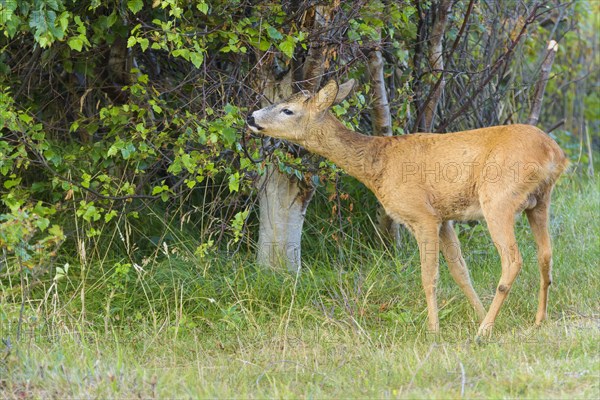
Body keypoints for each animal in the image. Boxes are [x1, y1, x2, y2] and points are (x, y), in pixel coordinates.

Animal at [247, 79, 568, 338]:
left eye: (287, 110)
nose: (250, 116)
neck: (379, 165)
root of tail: (554, 153)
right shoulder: (444, 217)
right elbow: (460, 271)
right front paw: (476, 314)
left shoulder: (422, 215)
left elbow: (429, 276)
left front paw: (434, 330)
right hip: (539, 202)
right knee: (546, 254)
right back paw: (536, 320)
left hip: (498, 198)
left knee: (513, 260)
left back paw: (484, 331)